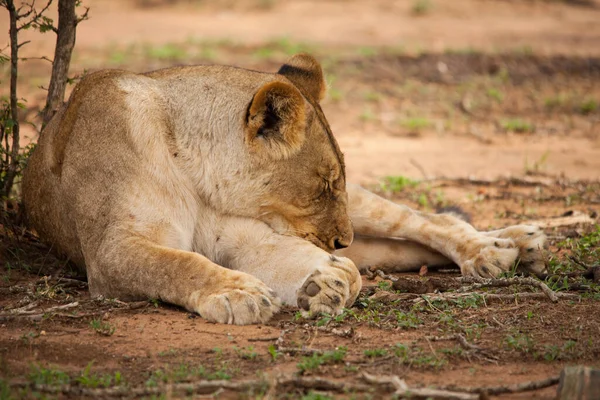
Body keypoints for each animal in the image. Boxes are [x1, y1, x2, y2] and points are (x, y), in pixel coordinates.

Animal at [22, 53, 548, 324]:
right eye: (323, 185)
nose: (341, 242)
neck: (195, 172)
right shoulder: (112, 249)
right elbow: (178, 263)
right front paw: (249, 291)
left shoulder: (243, 233)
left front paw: (326, 282)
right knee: (399, 248)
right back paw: (519, 248)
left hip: (366, 210)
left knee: (426, 220)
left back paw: (502, 248)